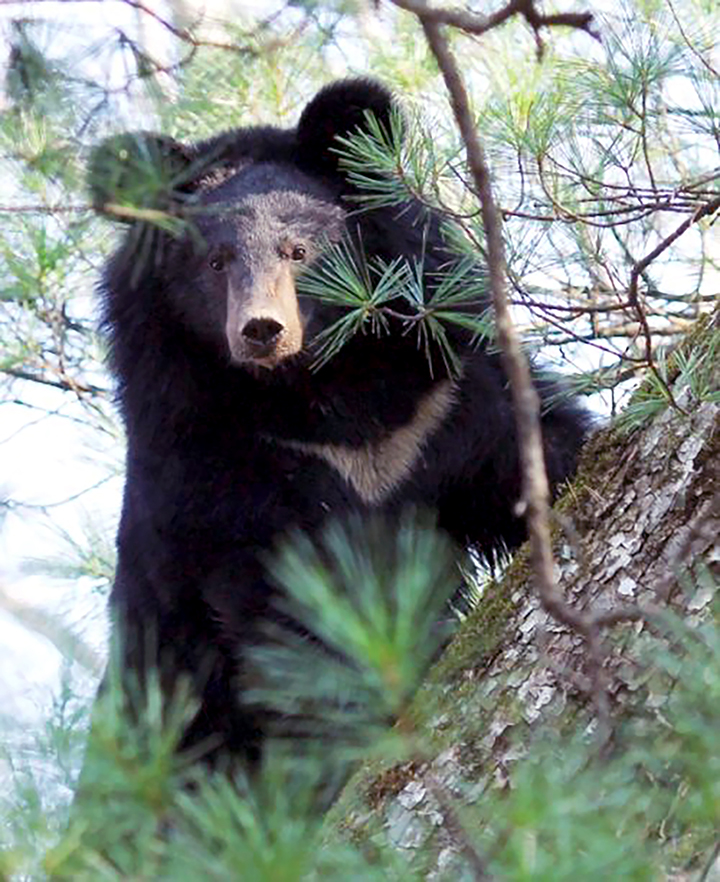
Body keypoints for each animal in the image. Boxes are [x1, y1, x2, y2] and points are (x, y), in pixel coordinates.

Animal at [88, 79, 592, 768]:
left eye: (298, 251)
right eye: (215, 262)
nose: (262, 331)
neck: (318, 391)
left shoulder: (442, 398)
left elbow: (529, 454)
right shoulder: (212, 454)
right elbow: (293, 601)